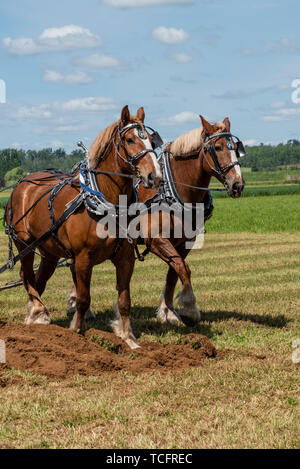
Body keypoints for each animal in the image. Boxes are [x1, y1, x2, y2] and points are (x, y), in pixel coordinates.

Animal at [5, 106, 162, 348]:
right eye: (129, 139)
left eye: (152, 142)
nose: (154, 176)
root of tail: (22, 184)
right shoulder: (82, 258)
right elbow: (83, 298)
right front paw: (77, 332)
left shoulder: (126, 258)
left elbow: (124, 300)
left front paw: (128, 338)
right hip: (24, 244)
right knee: (26, 275)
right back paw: (39, 310)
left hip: (49, 252)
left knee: (38, 279)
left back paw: (36, 316)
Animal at [135, 114, 245, 324]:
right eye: (217, 148)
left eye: (235, 147)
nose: (237, 184)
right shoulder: (156, 240)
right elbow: (183, 268)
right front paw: (190, 307)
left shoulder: (184, 242)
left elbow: (174, 272)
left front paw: (168, 311)